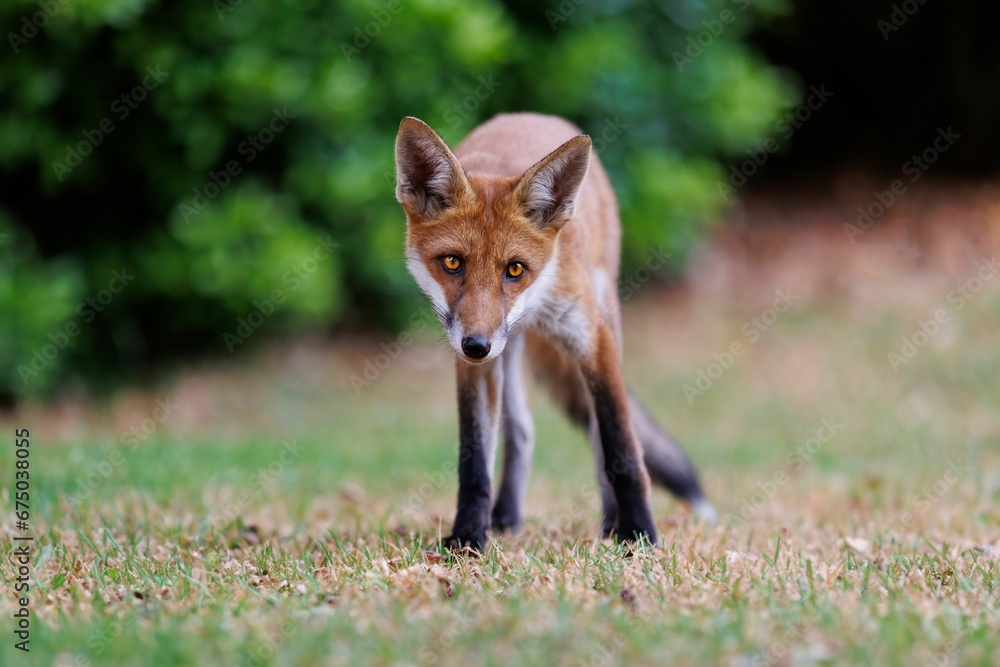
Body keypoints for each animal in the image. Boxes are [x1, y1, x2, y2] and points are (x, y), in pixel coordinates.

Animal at [394, 112, 715, 550]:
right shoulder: (474, 364)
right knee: (522, 429)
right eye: (452, 263)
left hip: (603, 314)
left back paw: (611, 521)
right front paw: (468, 538)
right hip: (507, 351)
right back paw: (506, 517)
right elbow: (474, 463)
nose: (476, 346)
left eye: (515, 269)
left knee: (599, 436)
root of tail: (533, 115)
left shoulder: (592, 338)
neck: (537, 299)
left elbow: (622, 447)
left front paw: (639, 534)